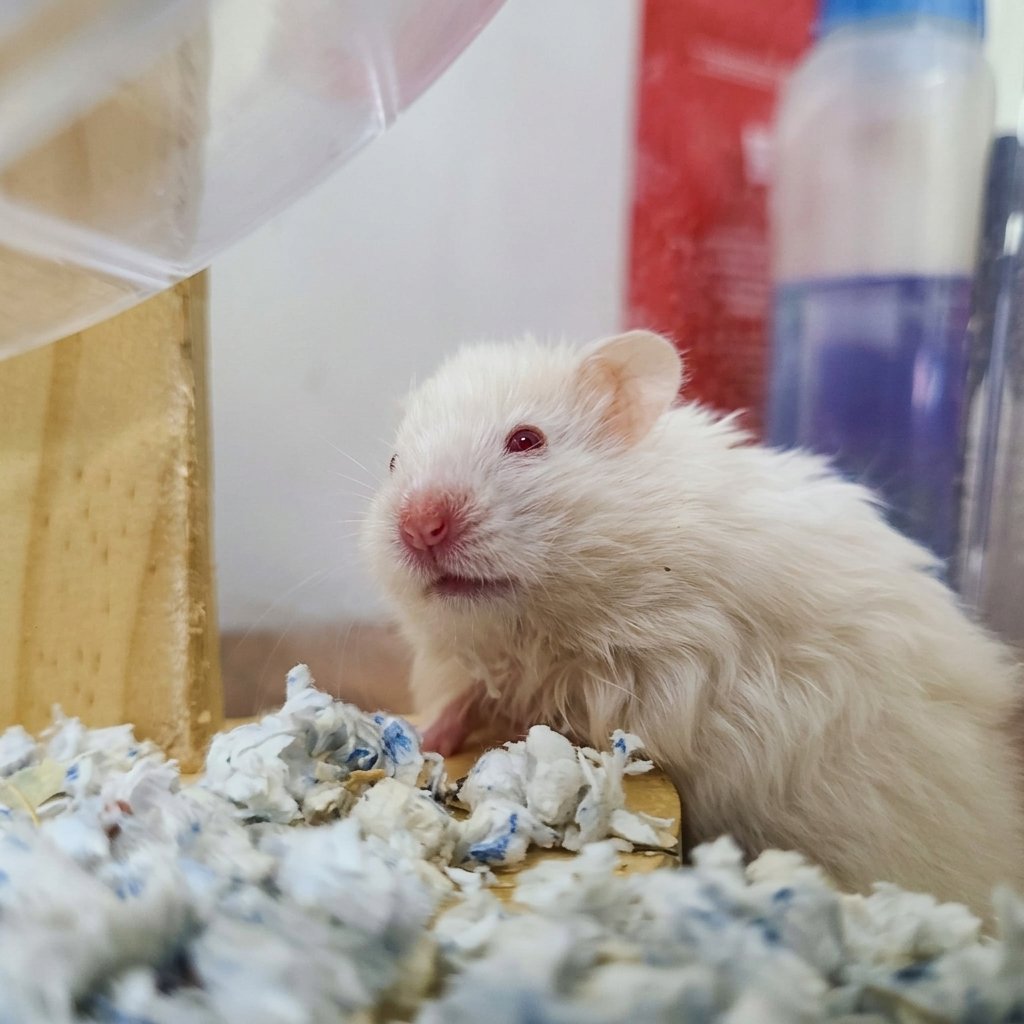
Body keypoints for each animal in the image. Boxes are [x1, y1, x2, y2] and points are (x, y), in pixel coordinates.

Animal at [363, 329, 1024, 918]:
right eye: (393, 462)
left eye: (526, 440)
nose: (419, 526)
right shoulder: (470, 664)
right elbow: (462, 700)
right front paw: (417, 733)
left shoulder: (674, 669)